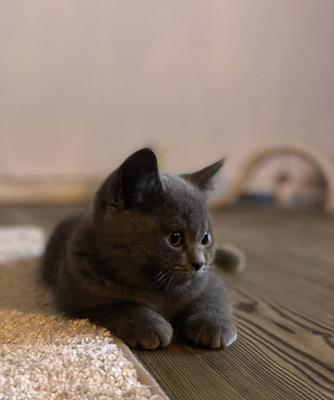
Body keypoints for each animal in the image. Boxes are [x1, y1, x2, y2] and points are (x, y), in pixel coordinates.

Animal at [42, 148, 245, 348]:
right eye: (175, 238)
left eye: (205, 238)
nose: (199, 263)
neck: (159, 288)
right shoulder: (75, 299)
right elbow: (121, 306)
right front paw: (148, 325)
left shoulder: (211, 281)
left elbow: (211, 300)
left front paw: (214, 325)